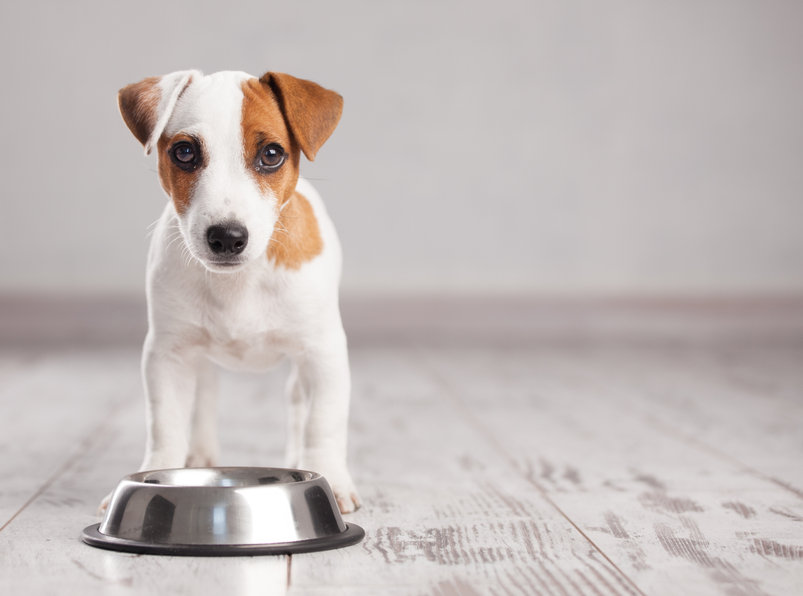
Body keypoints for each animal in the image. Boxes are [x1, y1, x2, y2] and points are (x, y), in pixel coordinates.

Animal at [107, 68, 362, 512]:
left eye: (272, 154)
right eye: (184, 152)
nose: (226, 237)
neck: (239, 283)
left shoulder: (324, 352)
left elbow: (323, 423)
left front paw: (331, 479)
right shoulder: (167, 355)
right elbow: (165, 425)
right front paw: (154, 471)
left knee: (298, 403)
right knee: (205, 395)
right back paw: (200, 453)